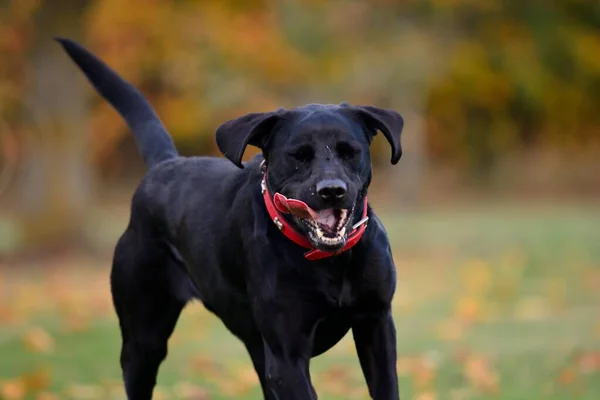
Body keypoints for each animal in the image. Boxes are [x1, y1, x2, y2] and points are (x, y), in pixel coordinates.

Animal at [57, 37, 404, 400]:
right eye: (298, 156)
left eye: (350, 152)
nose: (332, 190)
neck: (330, 262)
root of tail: (164, 165)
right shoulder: (287, 356)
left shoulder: (376, 324)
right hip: (143, 340)